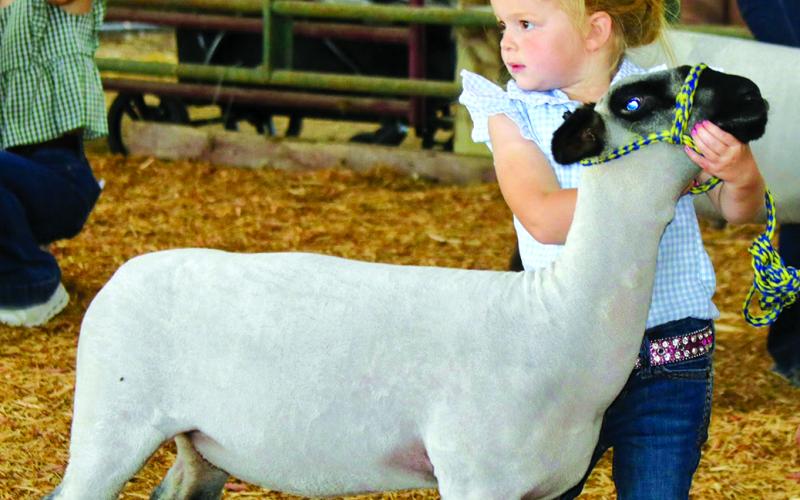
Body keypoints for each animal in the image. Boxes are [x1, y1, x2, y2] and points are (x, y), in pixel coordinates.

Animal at [45, 65, 767, 500]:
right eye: (636, 101)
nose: (753, 96)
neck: (561, 317)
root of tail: (126, 272)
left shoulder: (552, 484)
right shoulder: (475, 476)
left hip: (199, 446)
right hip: (111, 422)